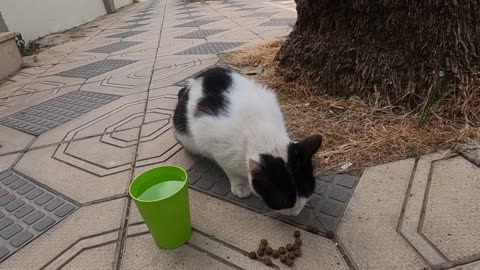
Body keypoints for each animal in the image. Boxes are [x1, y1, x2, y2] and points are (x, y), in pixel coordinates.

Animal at [172, 66, 322, 216]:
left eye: (308, 191)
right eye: (285, 201)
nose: (296, 212)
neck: (261, 130)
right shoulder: (214, 143)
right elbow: (228, 167)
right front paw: (240, 184)